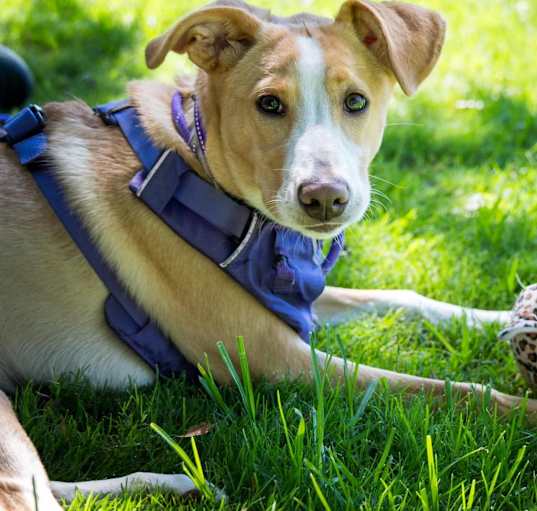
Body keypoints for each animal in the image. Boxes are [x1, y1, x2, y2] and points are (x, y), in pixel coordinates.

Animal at [0, 0, 532, 510]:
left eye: (356, 102)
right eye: (269, 104)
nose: (325, 198)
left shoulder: (298, 304)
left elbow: (402, 298)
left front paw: (502, 318)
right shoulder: (270, 356)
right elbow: (446, 388)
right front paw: (528, 412)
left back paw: (177, 485)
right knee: (31, 494)